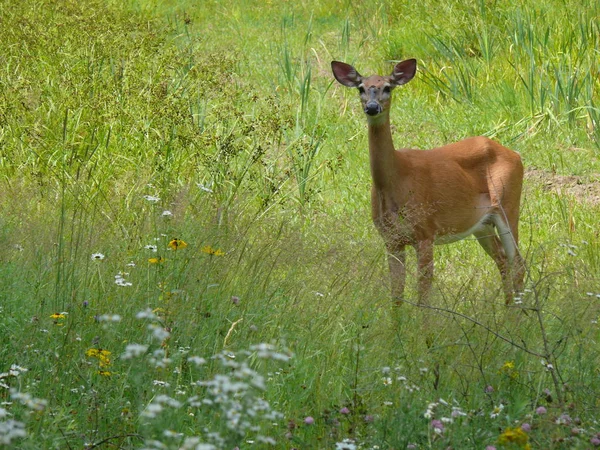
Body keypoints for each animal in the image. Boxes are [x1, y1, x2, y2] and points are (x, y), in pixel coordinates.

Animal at [332, 59, 524, 306]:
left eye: (387, 87)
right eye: (361, 88)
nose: (372, 107)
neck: (396, 181)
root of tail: (515, 154)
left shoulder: (425, 232)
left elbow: (423, 295)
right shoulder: (391, 239)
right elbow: (396, 295)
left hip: (508, 205)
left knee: (517, 262)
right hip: (482, 223)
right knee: (501, 258)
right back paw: (509, 309)